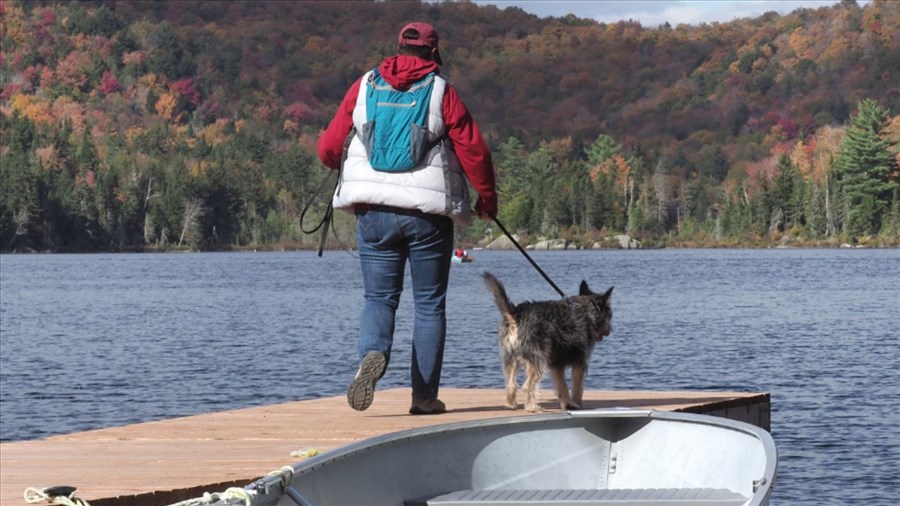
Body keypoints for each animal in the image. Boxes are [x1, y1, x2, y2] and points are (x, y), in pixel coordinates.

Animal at [482, 272, 616, 412]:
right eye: (610, 315)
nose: (609, 330)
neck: (585, 311)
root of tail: (516, 315)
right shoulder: (580, 363)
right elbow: (578, 387)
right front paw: (577, 403)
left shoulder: (557, 364)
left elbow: (562, 386)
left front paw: (568, 403)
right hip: (538, 358)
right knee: (528, 385)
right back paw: (532, 407)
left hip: (510, 357)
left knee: (511, 383)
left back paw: (510, 404)